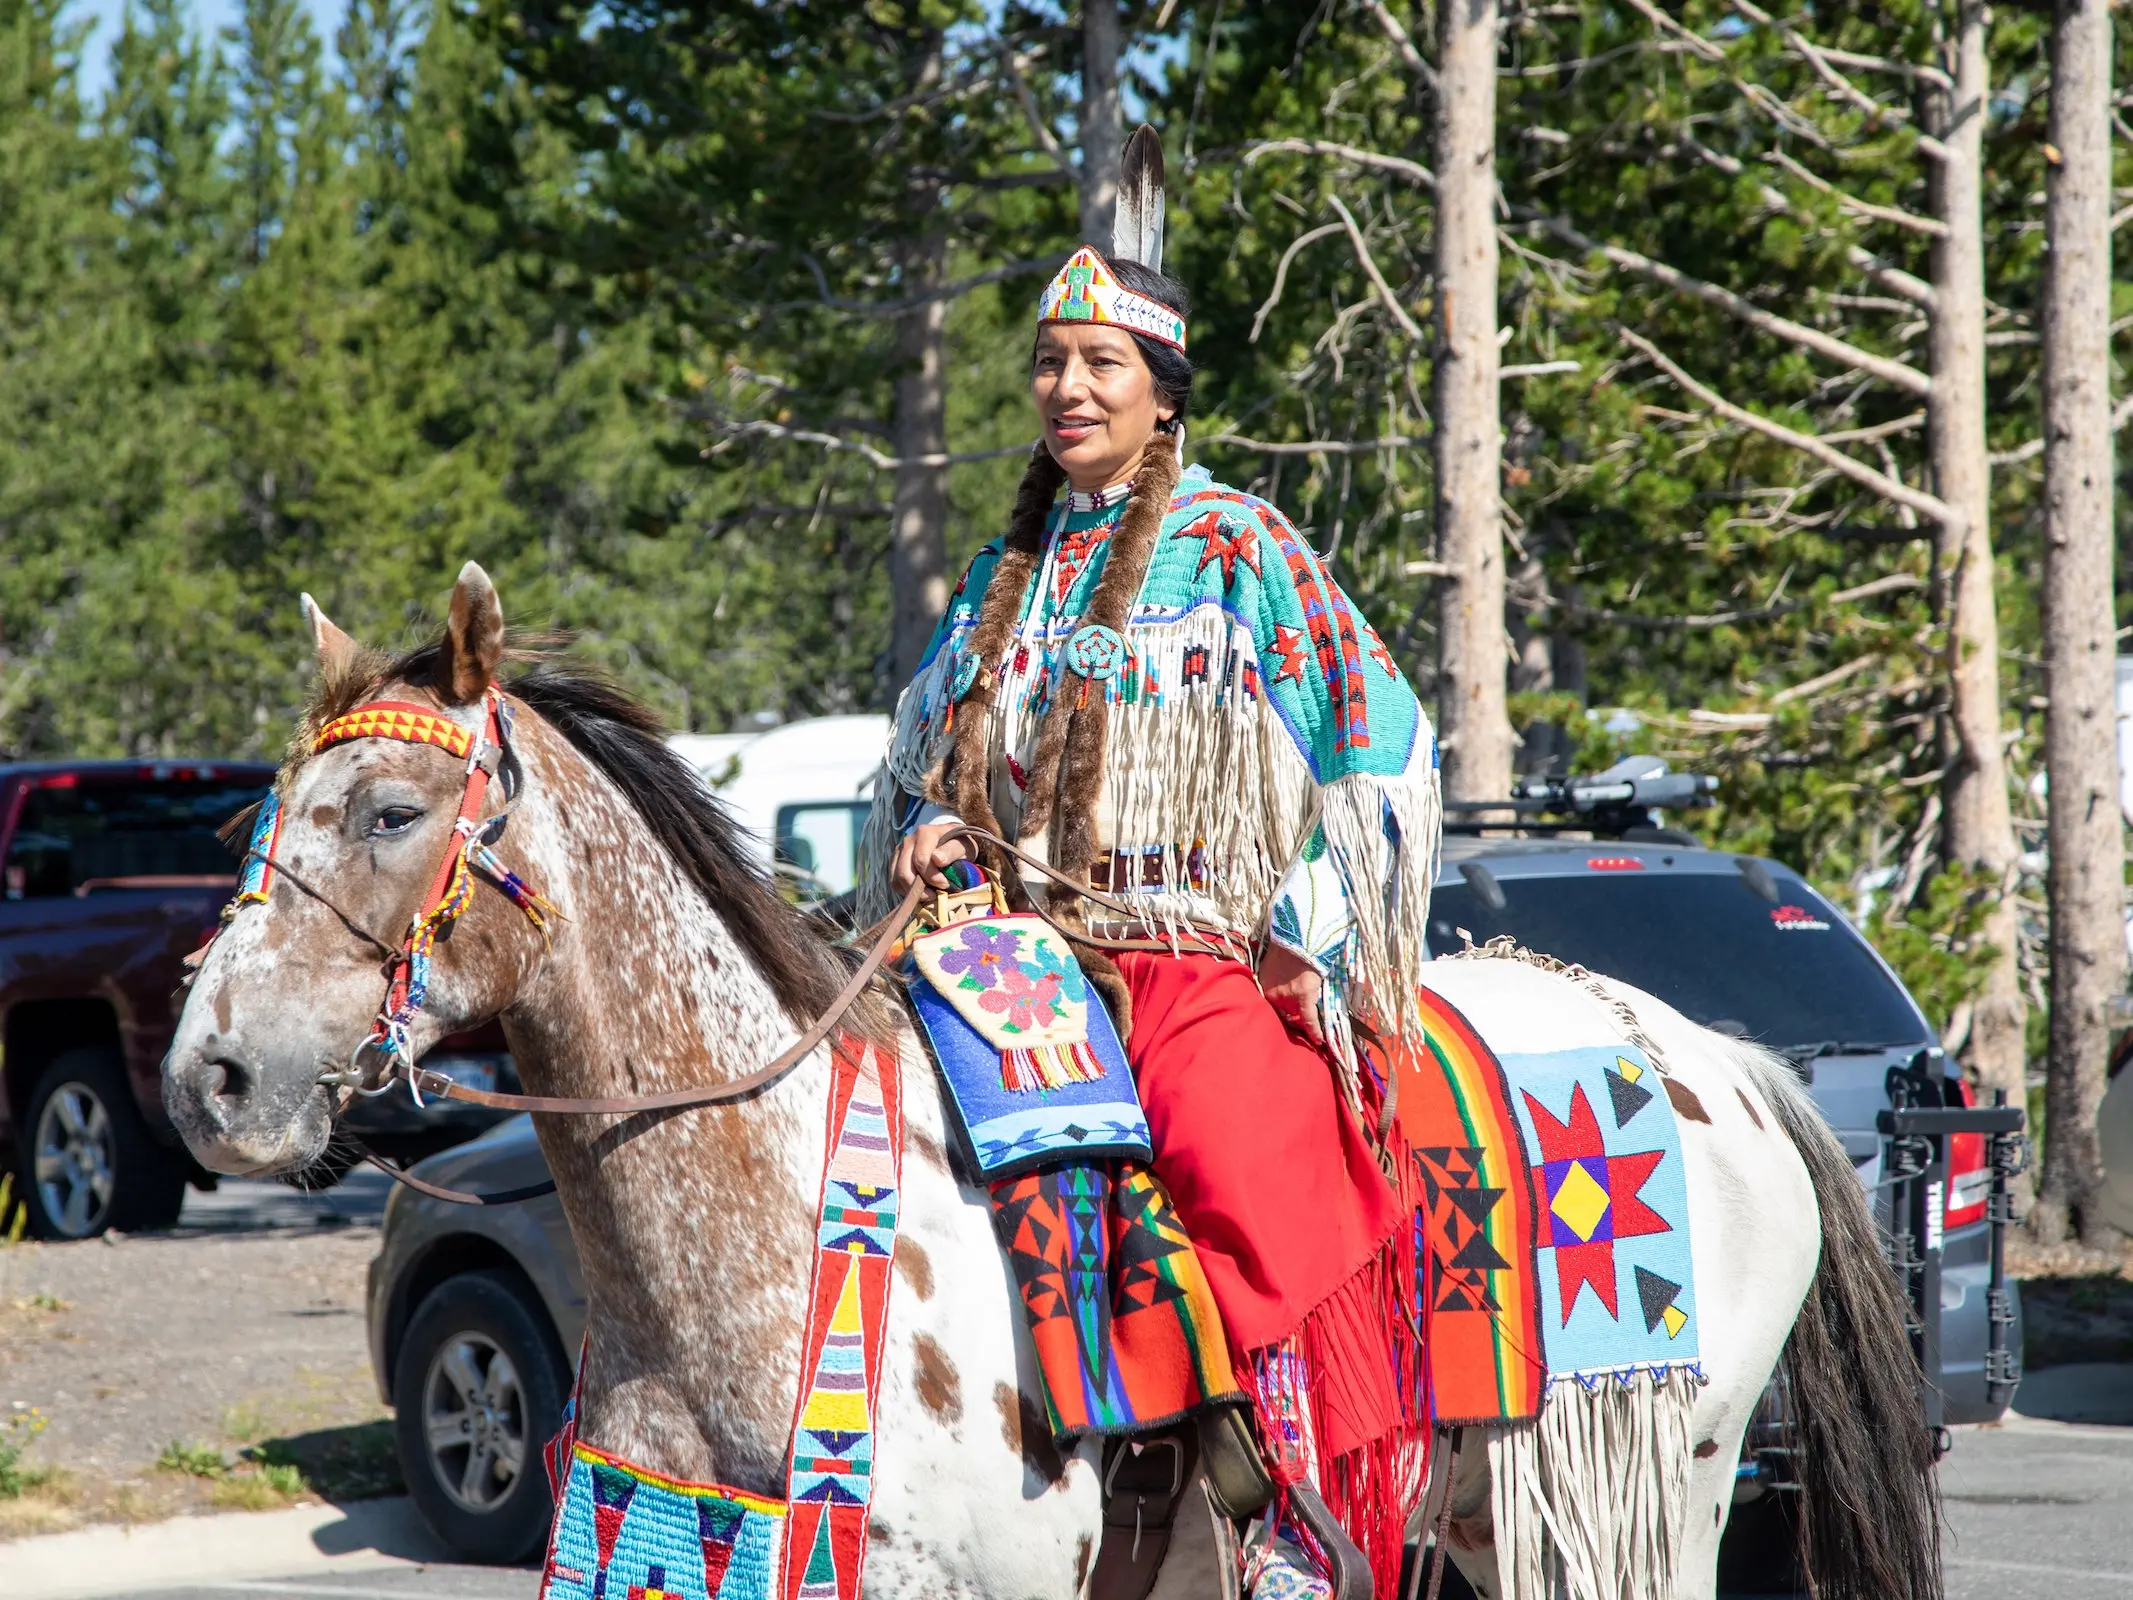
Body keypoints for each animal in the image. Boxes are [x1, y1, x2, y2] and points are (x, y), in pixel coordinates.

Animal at [162, 567, 1936, 1600]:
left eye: (393, 813)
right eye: (263, 812)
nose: (211, 1078)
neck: (775, 1217)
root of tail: (1724, 1057)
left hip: (1645, 1496)